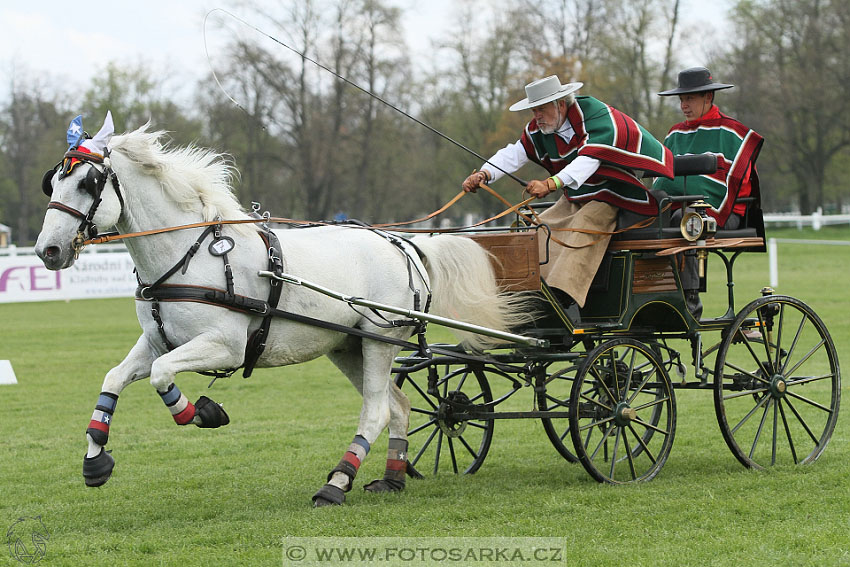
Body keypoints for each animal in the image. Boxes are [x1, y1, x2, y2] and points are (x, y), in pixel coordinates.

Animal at [34, 117, 528, 508]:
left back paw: (336, 483)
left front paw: (203, 412)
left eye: (88, 183)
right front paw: (95, 460)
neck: (187, 256)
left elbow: (161, 375)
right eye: (52, 183)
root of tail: (402, 243)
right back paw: (390, 479)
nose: (48, 251)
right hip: (347, 346)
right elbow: (115, 378)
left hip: (378, 340)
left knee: (375, 411)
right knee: (400, 406)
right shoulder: (157, 340)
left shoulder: (224, 346)